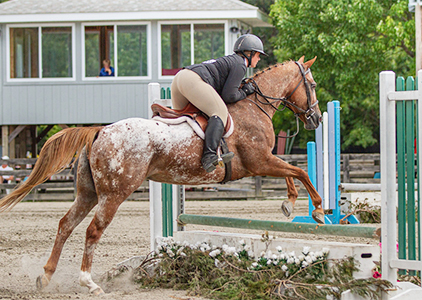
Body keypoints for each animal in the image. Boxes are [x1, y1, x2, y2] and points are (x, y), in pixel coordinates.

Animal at [0, 55, 324, 292]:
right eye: (312, 83)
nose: (317, 119)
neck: (254, 106)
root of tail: (100, 131)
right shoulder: (259, 162)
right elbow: (299, 171)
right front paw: (318, 210)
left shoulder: (264, 161)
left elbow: (291, 172)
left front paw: (288, 204)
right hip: (114, 193)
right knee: (93, 230)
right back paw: (89, 282)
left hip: (88, 192)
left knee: (65, 225)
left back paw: (46, 276)